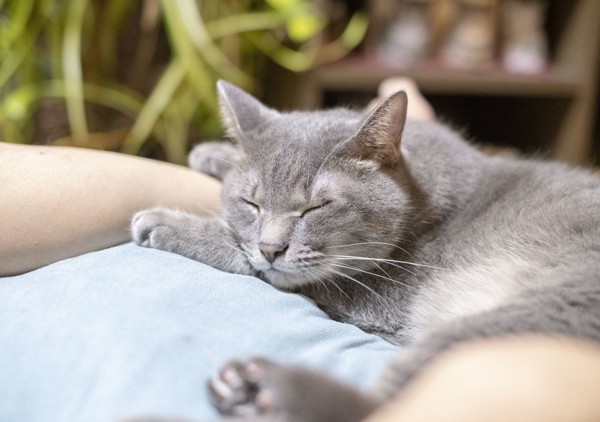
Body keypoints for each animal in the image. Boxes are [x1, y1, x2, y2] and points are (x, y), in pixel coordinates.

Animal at [131, 81, 600, 420]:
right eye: (252, 203)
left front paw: (166, 223)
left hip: (505, 329)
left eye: (316, 207)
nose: (270, 247)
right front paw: (214, 152)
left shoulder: (375, 295)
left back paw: (262, 389)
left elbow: (248, 256)